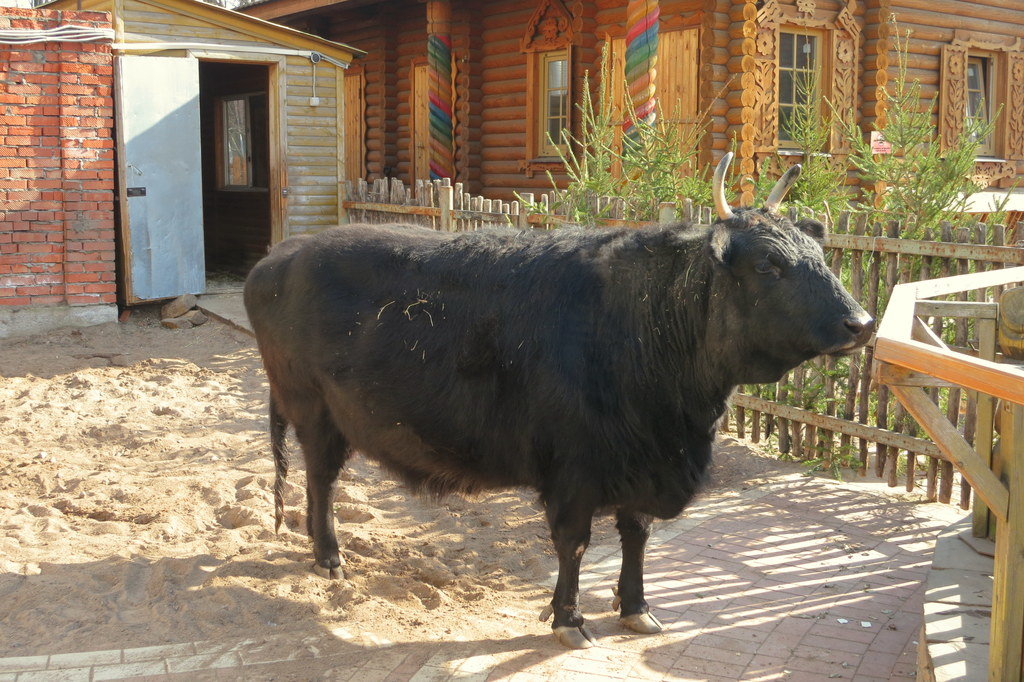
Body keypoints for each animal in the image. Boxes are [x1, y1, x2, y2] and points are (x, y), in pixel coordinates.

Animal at [245, 161, 872, 647]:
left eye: (820, 255)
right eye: (768, 264)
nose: (861, 323)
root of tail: (281, 255)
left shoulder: (642, 465)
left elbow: (636, 537)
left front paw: (636, 608)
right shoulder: (573, 470)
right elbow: (574, 545)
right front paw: (568, 618)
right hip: (314, 412)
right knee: (321, 481)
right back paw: (328, 556)